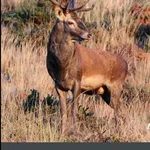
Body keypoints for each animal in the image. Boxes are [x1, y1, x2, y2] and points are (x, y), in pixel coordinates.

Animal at [47, 0, 127, 136]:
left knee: (118, 111)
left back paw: (118, 133)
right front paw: (62, 133)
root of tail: (126, 64)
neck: (62, 67)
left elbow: (74, 109)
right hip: (105, 92)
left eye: (80, 19)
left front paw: (75, 132)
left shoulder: (78, 81)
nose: (89, 34)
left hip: (116, 85)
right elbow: (63, 110)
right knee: (120, 111)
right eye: (70, 22)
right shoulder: (58, 85)